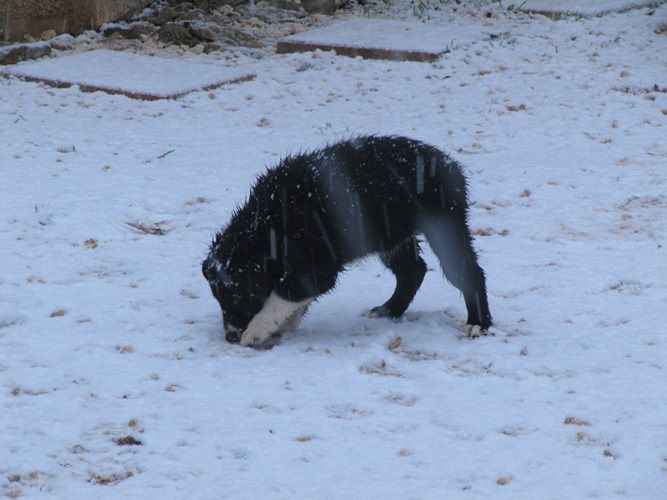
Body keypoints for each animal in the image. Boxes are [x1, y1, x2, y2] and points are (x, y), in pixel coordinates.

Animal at [202, 137, 490, 348]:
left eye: (237, 295)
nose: (230, 337)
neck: (267, 228)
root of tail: (451, 167)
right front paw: (285, 322)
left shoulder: (317, 267)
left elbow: (282, 295)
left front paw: (257, 329)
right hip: (393, 238)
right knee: (412, 271)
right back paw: (389, 310)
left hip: (444, 227)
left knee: (469, 272)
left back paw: (479, 323)